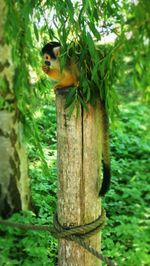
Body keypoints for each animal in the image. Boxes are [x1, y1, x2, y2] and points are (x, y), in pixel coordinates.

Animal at [41, 41, 111, 195]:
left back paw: (77, 86)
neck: (60, 58)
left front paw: (59, 85)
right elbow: (61, 74)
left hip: (90, 82)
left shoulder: (66, 61)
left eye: (47, 57)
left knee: (79, 71)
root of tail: (100, 88)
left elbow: (71, 75)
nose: (45, 62)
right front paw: (47, 71)